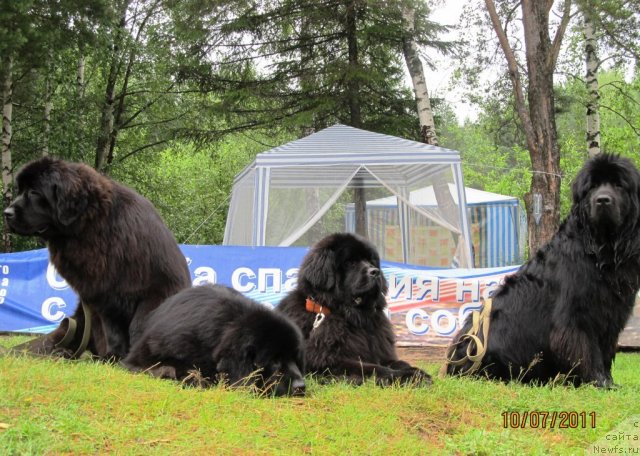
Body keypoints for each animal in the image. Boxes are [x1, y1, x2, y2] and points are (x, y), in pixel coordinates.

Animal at [3, 157, 191, 360]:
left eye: (34, 192)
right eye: (20, 190)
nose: (6, 213)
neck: (91, 228)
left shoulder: (155, 290)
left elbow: (139, 326)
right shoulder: (104, 297)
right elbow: (112, 332)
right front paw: (114, 357)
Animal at [278, 233, 432, 386]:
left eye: (371, 261)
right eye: (350, 263)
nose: (375, 272)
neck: (352, 317)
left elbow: (398, 362)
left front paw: (416, 371)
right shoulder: (328, 362)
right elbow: (373, 368)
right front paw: (407, 376)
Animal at [442, 152, 640, 384]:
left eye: (619, 185)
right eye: (592, 187)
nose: (602, 200)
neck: (600, 250)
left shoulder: (611, 316)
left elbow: (605, 350)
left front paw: (607, 380)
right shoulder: (576, 316)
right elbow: (587, 350)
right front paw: (597, 381)